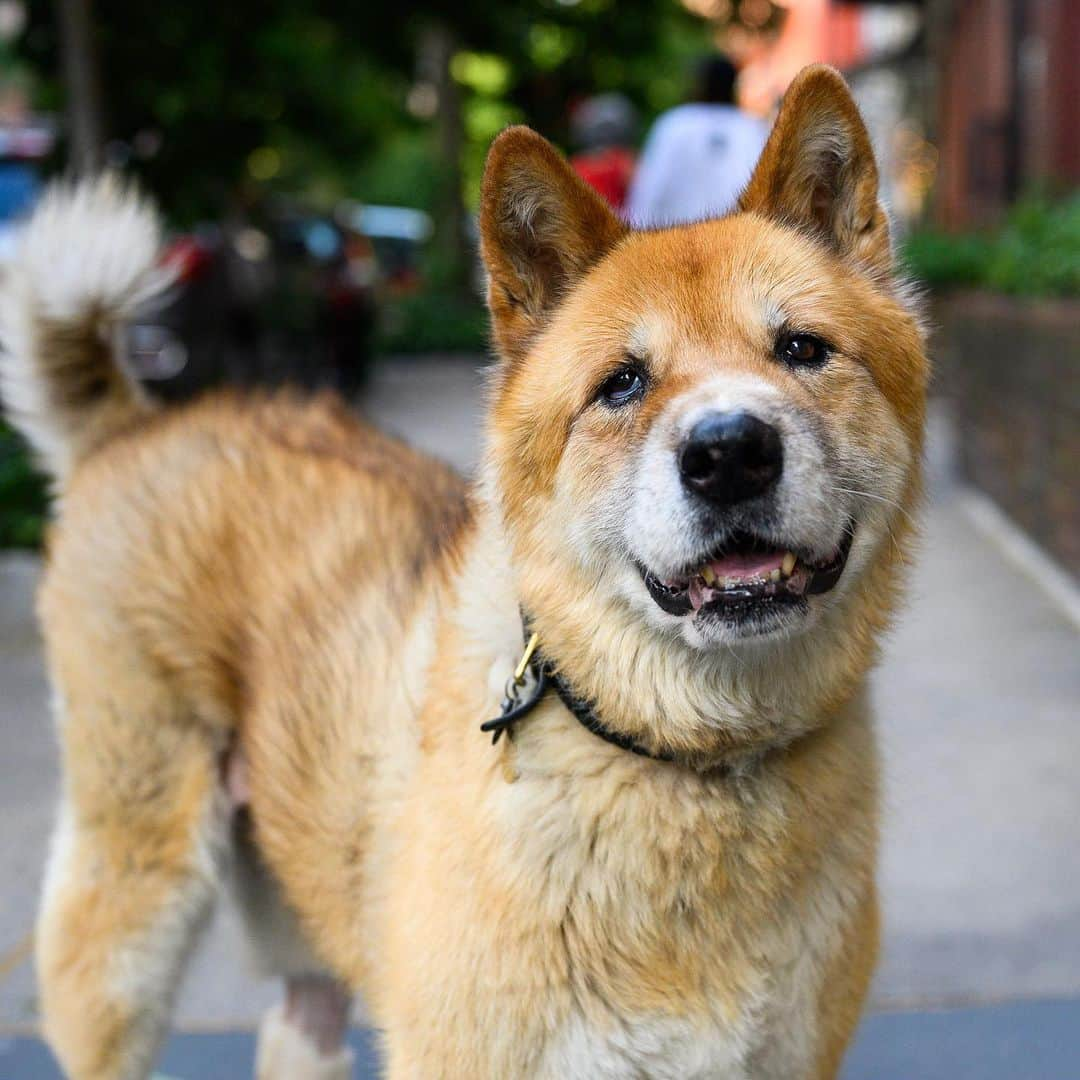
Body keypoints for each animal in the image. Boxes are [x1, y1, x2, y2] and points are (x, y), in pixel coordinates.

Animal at [0, 69, 928, 1080]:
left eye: (803, 349)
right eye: (622, 383)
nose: (730, 454)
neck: (683, 764)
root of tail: (135, 426)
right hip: (134, 909)